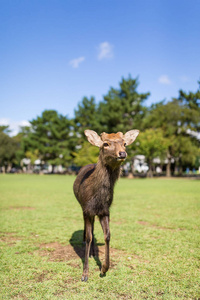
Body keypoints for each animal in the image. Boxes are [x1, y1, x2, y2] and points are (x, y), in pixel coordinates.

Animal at [73, 129, 139, 282]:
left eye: (124, 143)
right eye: (105, 144)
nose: (122, 153)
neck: (98, 199)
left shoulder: (105, 210)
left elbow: (108, 235)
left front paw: (104, 268)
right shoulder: (87, 209)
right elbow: (90, 237)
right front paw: (84, 275)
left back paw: (93, 252)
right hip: (82, 208)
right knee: (88, 230)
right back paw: (86, 244)